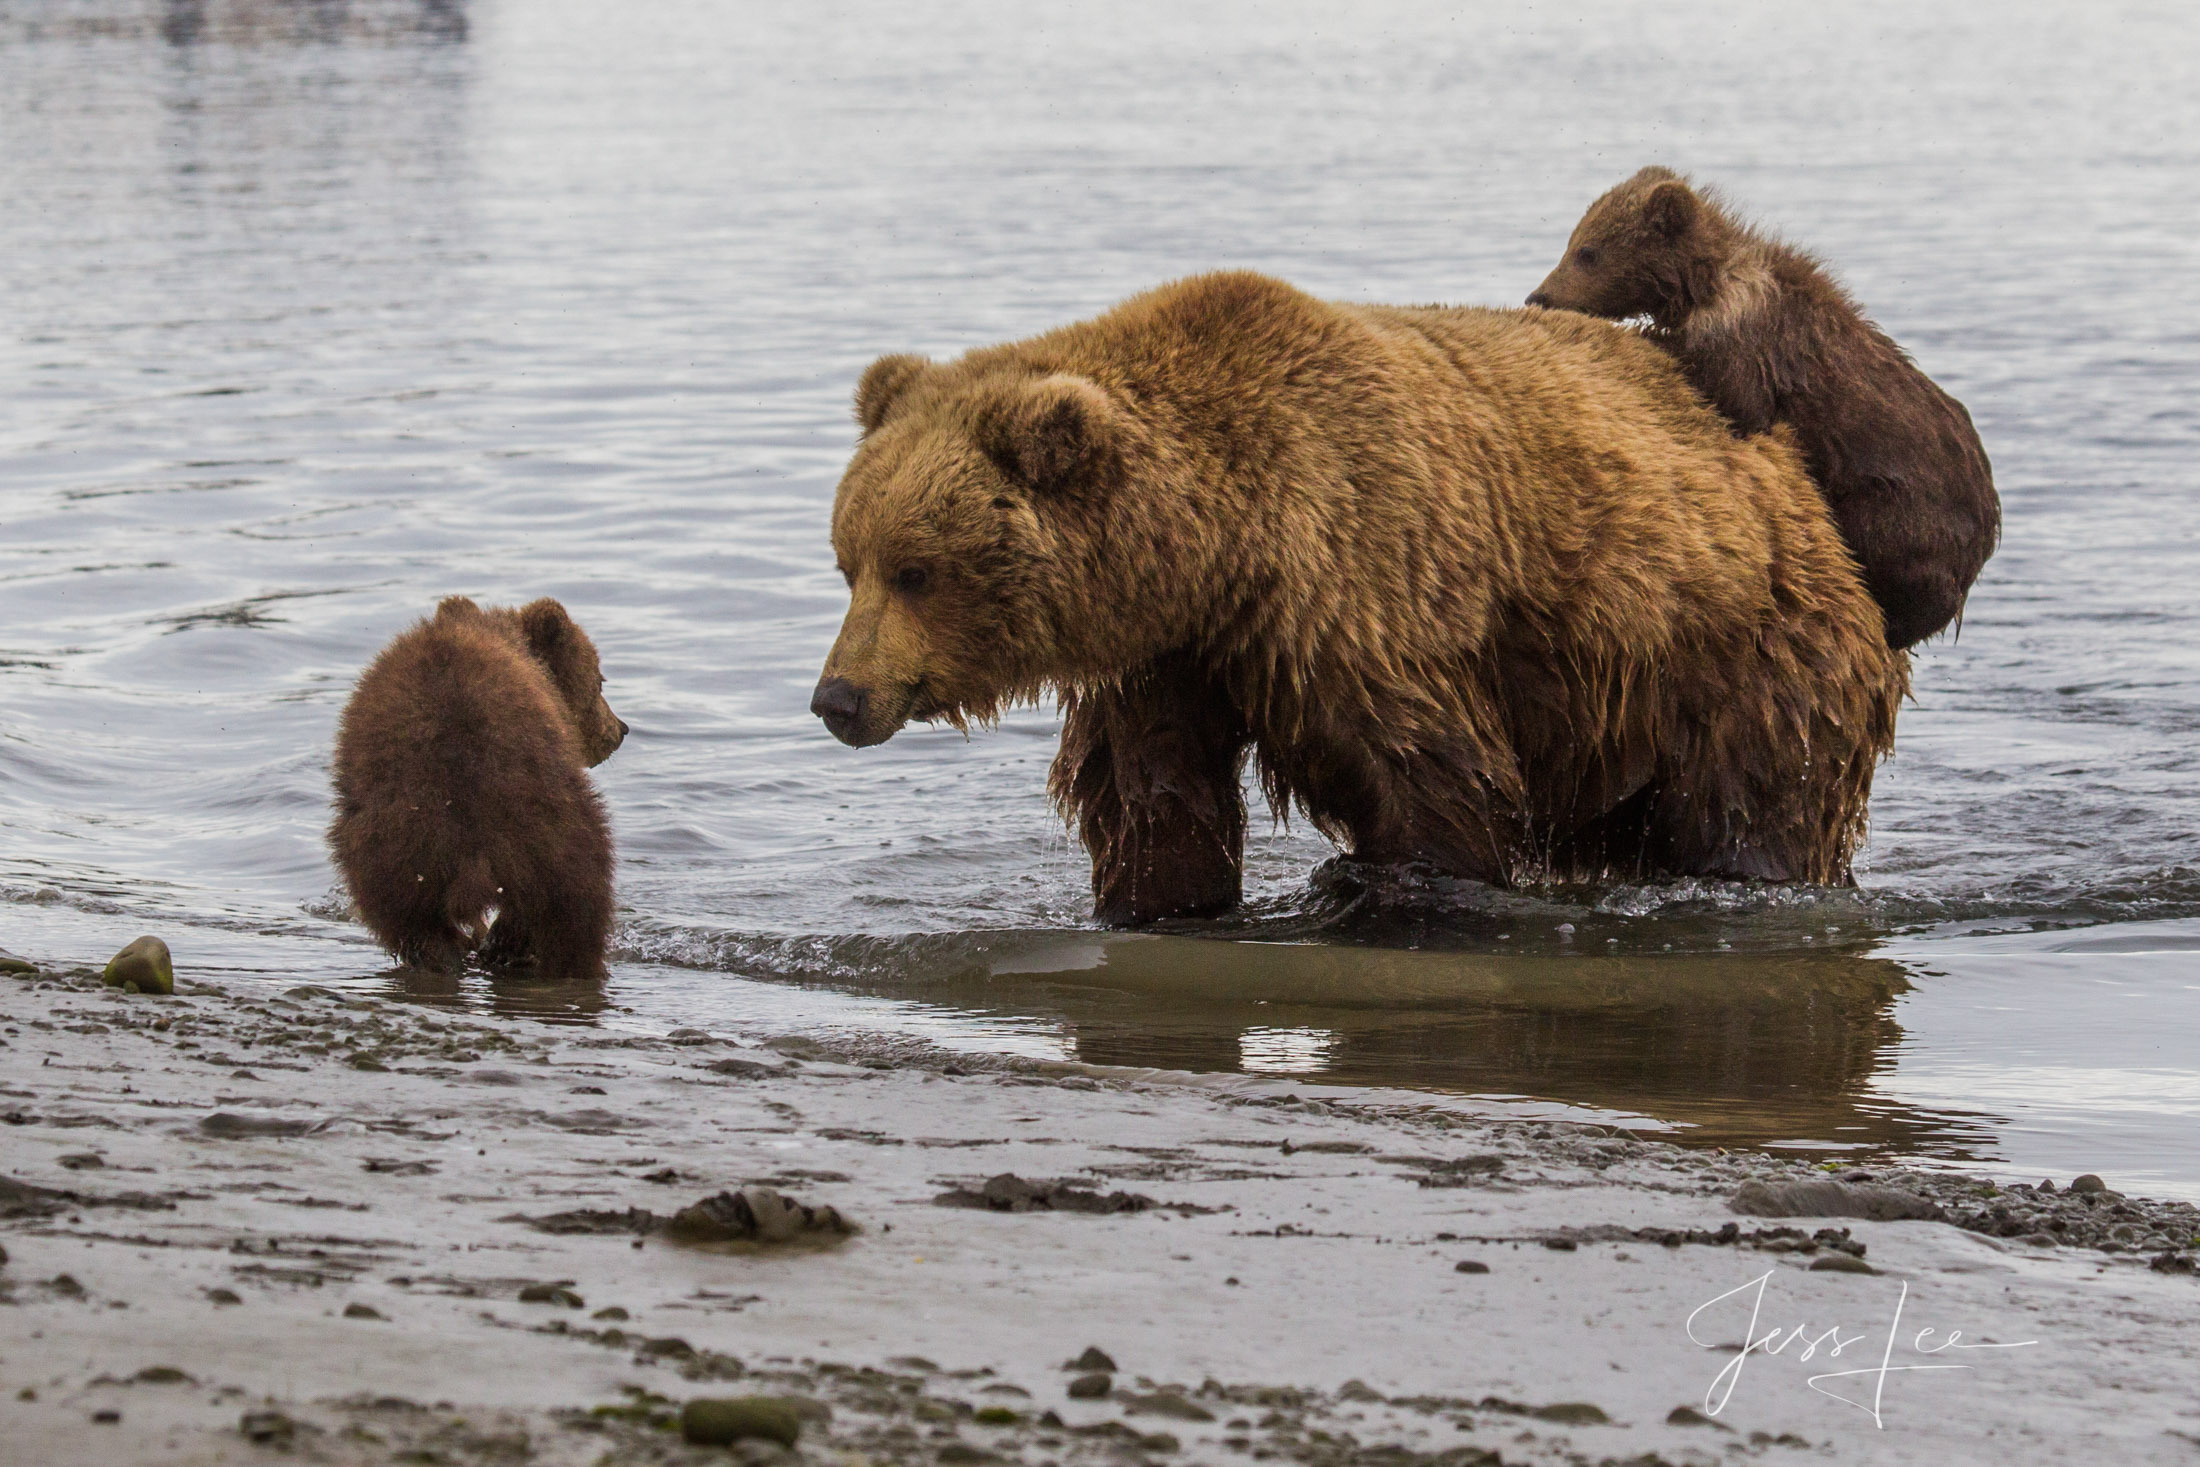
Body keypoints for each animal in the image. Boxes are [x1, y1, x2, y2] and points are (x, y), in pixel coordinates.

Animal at [332, 598, 629, 985]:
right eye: (600, 682)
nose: (620, 729)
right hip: (551, 822)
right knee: (576, 900)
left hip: (387, 845)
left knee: (409, 919)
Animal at [814, 269, 1909, 923]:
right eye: (848, 560)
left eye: (917, 568)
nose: (837, 698)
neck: (1220, 554)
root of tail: (1801, 488)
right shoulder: (1165, 658)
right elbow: (1152, 801)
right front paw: (1158, 899)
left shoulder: (1362, 593)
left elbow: (1428, 777)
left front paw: (1387, 886)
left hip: (1742, 652)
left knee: (1761, 807)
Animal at [1522, 164, 2006, 646]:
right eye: (1575, 242)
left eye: (1587, 252)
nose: (1538, 295)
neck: (1700, 286)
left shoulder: (1749, 342)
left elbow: (1732, 394)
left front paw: (1650, 336)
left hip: (1904, 505)